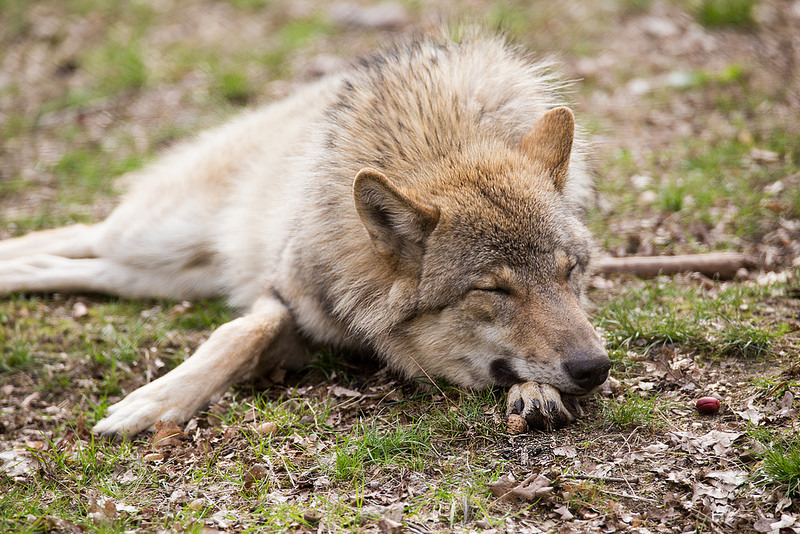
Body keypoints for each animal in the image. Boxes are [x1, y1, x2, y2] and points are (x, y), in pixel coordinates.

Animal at [0, 29, 608, 438]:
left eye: (569, 272)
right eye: (493, 289)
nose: (596, 367)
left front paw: (535, 392)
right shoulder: (284, 292)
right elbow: (239, 333)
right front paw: (153, 402)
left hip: (160, 275)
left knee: (77, 265)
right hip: (153, 240)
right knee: (78, 232)